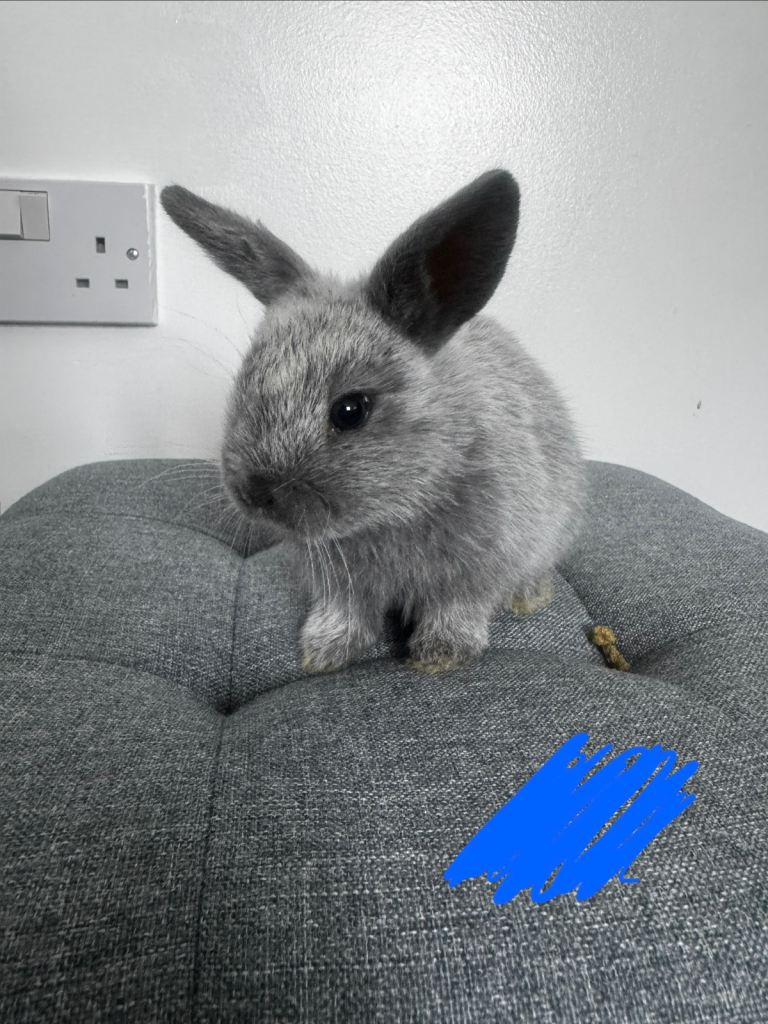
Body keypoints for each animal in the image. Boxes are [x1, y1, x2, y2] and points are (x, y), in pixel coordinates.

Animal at [160, 170, 585, 675]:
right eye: (245, 381)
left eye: (351, 410)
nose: (253, 493)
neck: (393, 510)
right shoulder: (340, 585)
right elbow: (345, 612)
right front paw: (322, 653)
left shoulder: (478, 568)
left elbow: (457, 608)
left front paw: (440, 656)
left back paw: (529, 597)